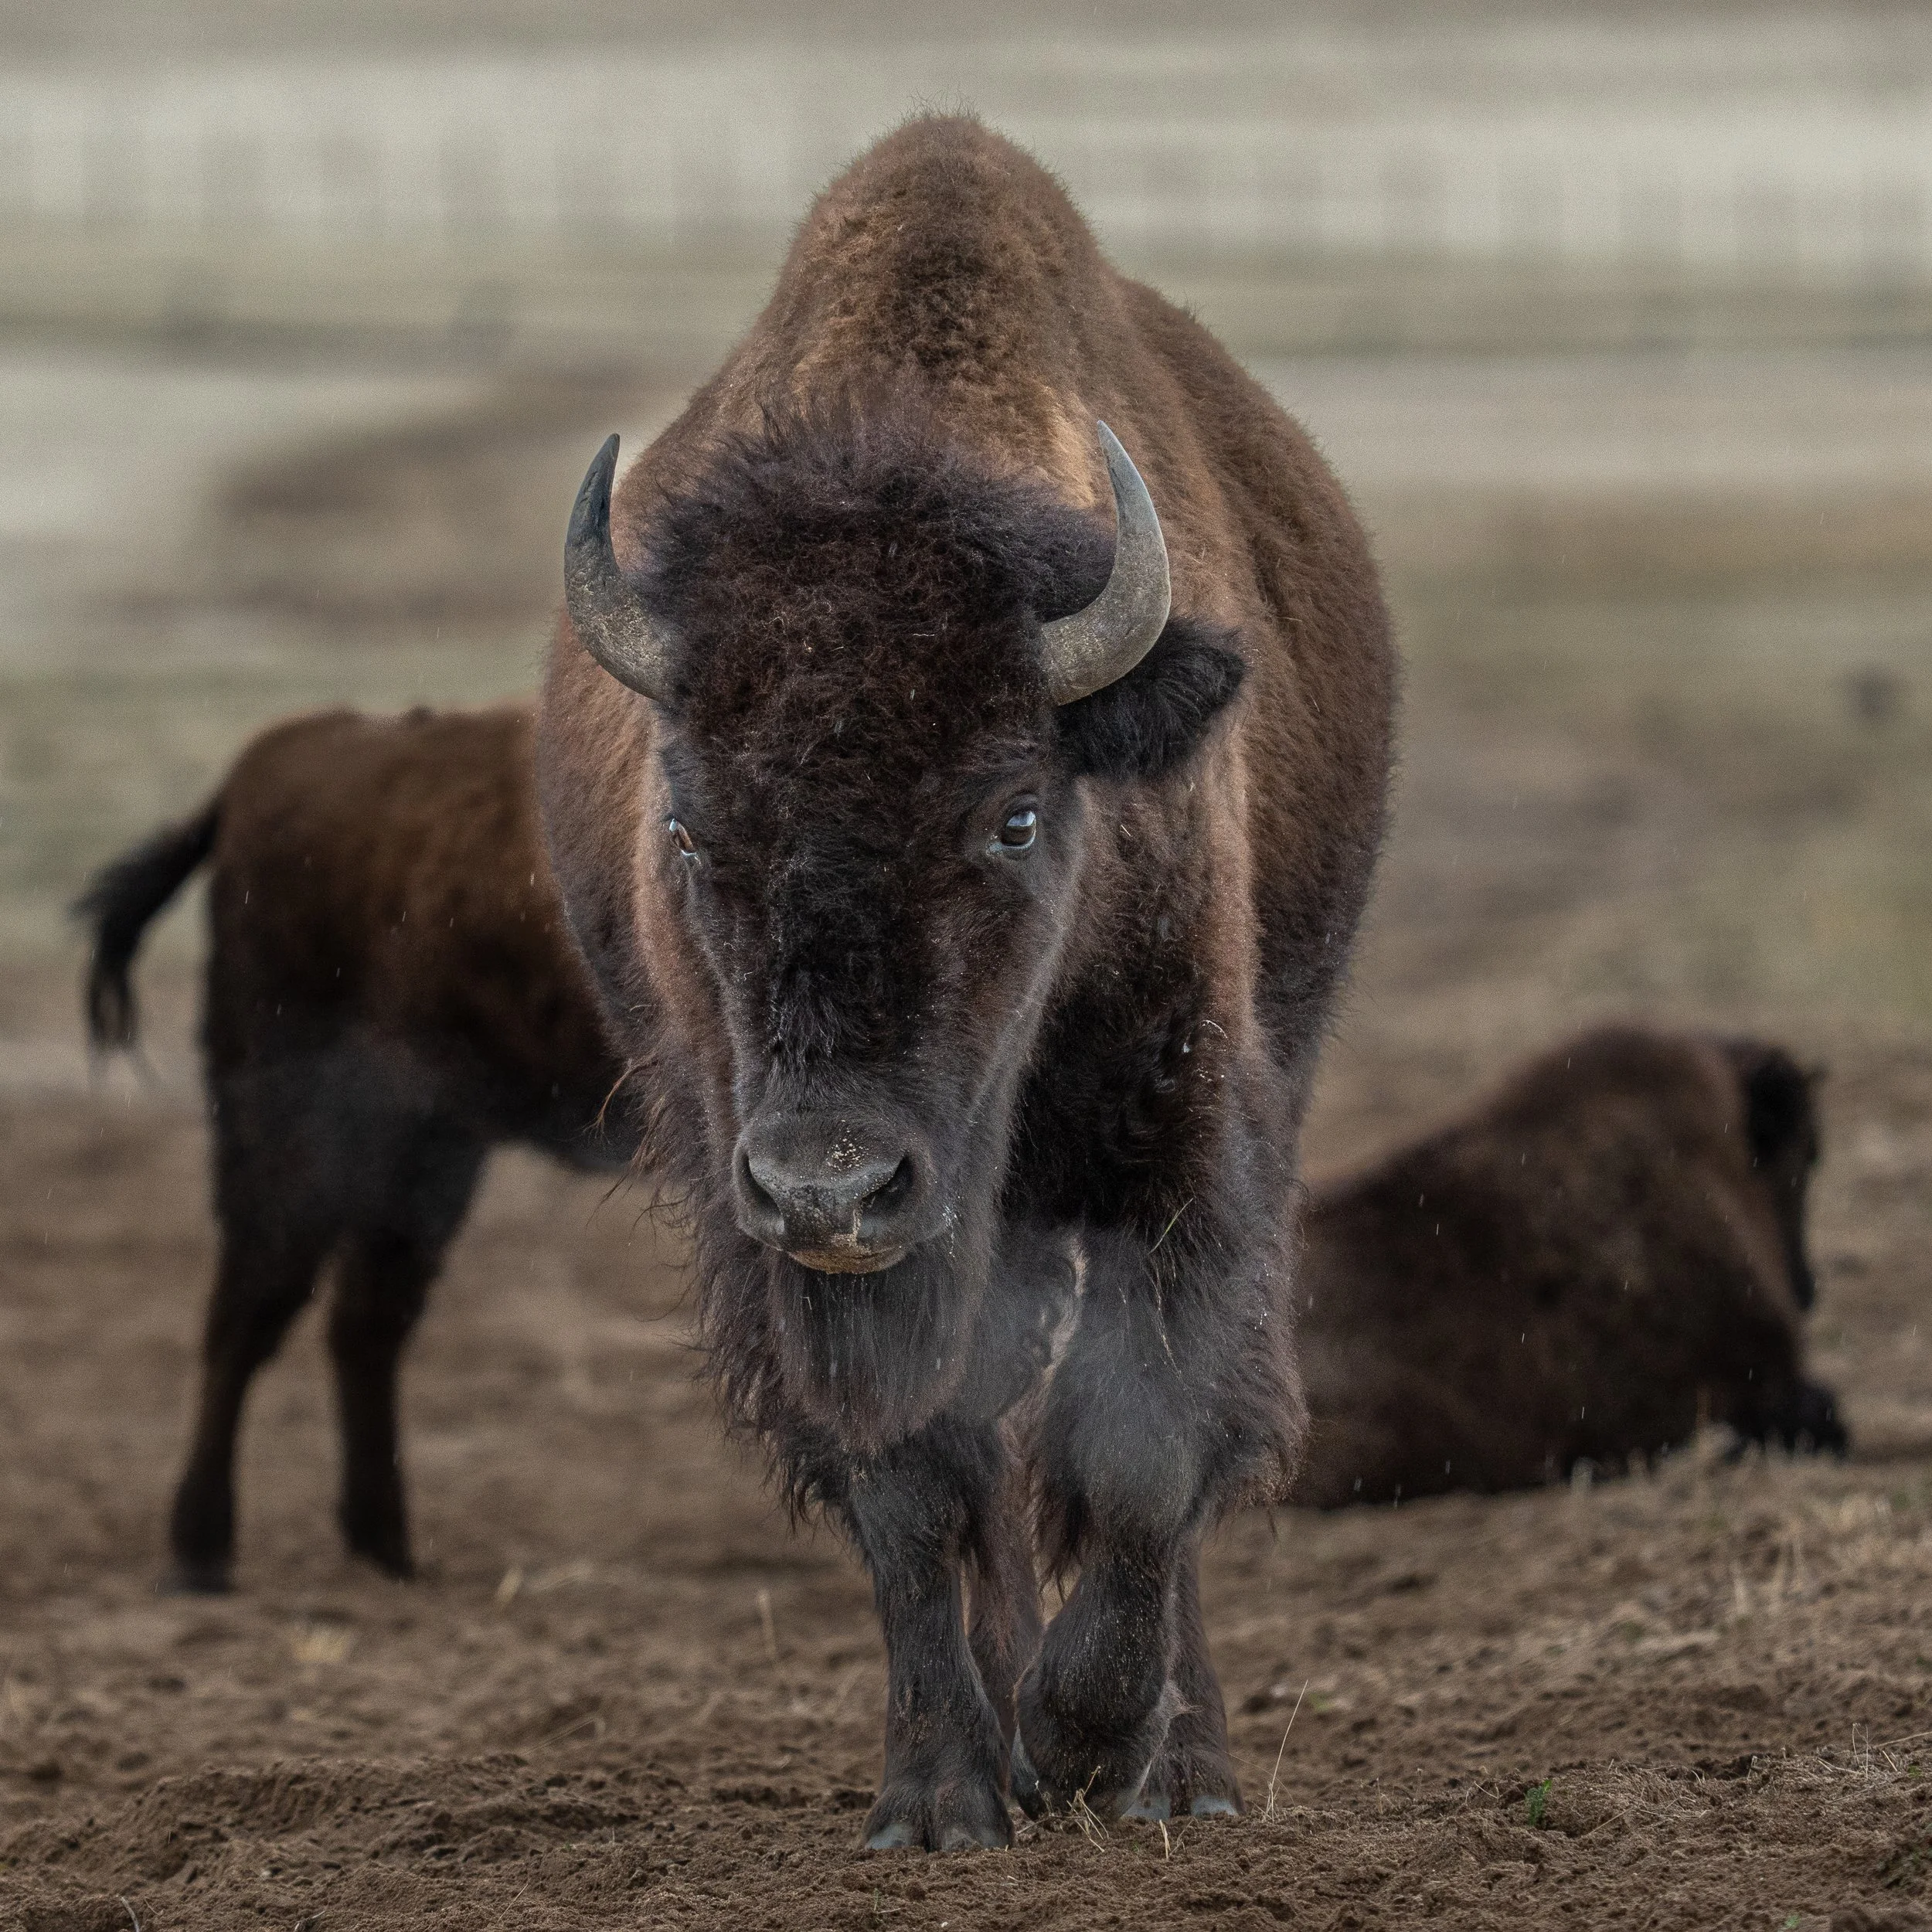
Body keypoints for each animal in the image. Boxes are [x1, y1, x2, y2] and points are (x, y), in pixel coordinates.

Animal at [76, 704, 629, 1592]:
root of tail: (255, 774)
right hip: (293, 1133)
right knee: (254, 1309)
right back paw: (202, 1550)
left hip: (423, 1149)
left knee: (361, 1319)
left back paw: (384, 1548)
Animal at [536, 116, 1397, 1845]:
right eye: (684, 820)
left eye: (1012, 811)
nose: (831, 1181)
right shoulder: (785, 1224)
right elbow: (917, 1485)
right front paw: (946, 1792)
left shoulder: (1178, 1141)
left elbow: (1143, 1454)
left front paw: (1091, 1748)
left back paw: (1182, 1770)